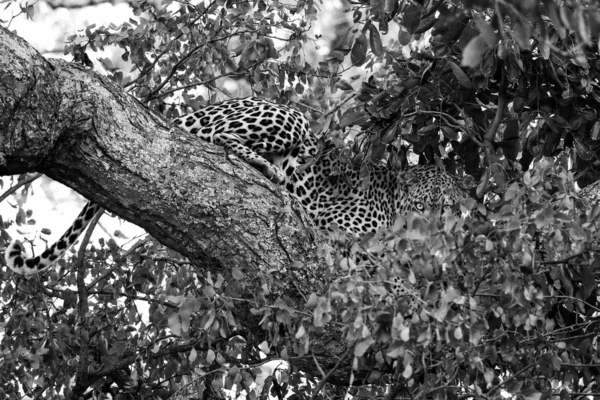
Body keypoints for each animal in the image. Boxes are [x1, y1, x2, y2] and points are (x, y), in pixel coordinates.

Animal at [3, 98, 464, 282]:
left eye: (452, 210)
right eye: (425, 205)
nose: (438, 235)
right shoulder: (345, 235)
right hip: (287, 118)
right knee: (222, 138)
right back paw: (266, 168)